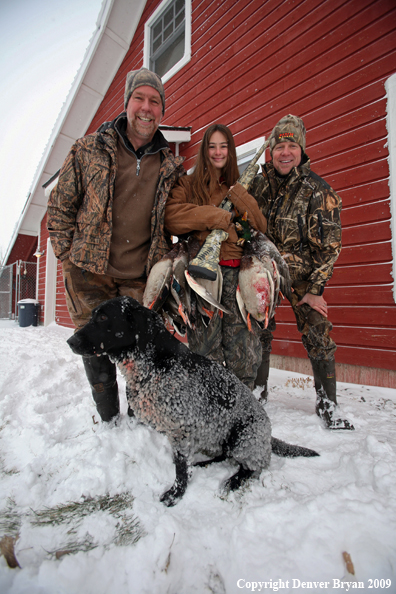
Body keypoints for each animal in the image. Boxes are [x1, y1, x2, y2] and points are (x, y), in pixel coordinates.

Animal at [66, 296, 318, 504]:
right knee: (224, 456)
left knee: (254, 467)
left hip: (243, 437)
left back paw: (233, 481)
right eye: (93, 315)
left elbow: (179, 468)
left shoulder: (180, 430)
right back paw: (205, 464)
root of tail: (269, 435)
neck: (153, 364)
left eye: (103, 317)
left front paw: (176, 493)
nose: (70, 341)